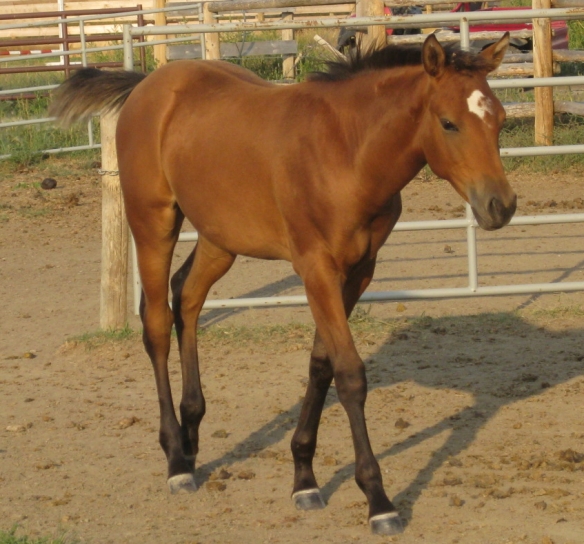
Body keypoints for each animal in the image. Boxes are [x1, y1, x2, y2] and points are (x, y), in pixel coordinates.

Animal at [51, 33, 516, 536]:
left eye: (500, 119)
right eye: (449, 123)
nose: (500, 205)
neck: (346, 150)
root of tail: (148, 85)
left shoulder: (358, 271)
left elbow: (321, 366)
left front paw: (304, 479)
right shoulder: (316, 269)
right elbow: (350, 374)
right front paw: (378, 500)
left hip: (220, 237)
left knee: (187, 297)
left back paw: (193, 439)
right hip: (153, 222)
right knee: (156, 321)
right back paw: (176, 459)